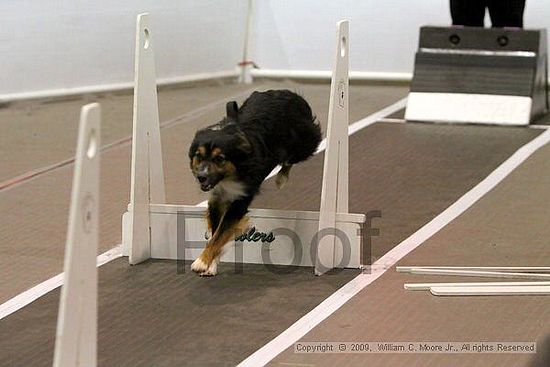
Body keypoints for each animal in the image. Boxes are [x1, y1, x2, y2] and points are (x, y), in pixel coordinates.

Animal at [189, 89, 324, 276]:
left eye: (220, 159)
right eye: (199, 156)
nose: (201, 177)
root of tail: (289, 93)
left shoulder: (240, 200)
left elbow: (221, 233)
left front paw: (202, 262)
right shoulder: (217, 198)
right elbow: (216, 231)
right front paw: (212, 263)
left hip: (303, 141)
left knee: (290, 158)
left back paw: (281, 178)